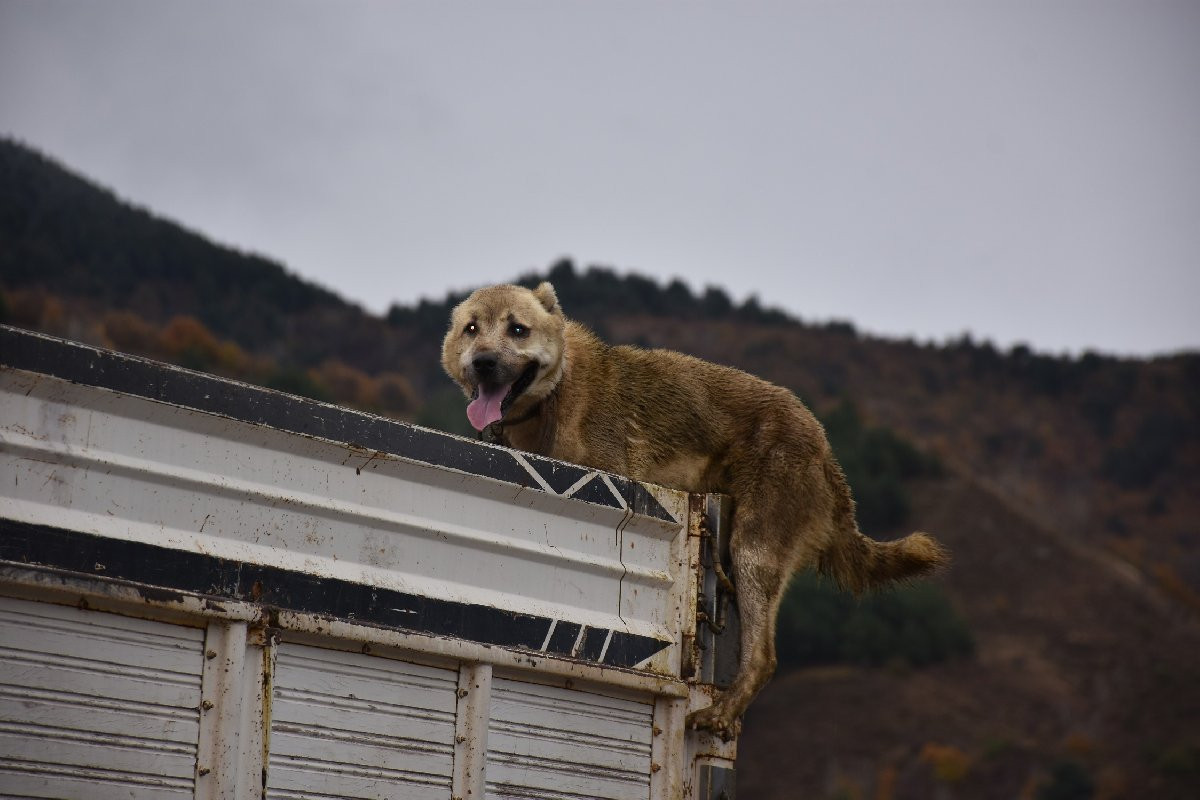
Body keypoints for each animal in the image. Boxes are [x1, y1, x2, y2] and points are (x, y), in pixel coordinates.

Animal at [441, 281, 945, 738]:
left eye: (518, 329)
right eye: (472, 328)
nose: (484, 362)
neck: (554, 395)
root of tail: (825, 450)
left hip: (753, 551)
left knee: (763, 657)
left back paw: (720, 715)